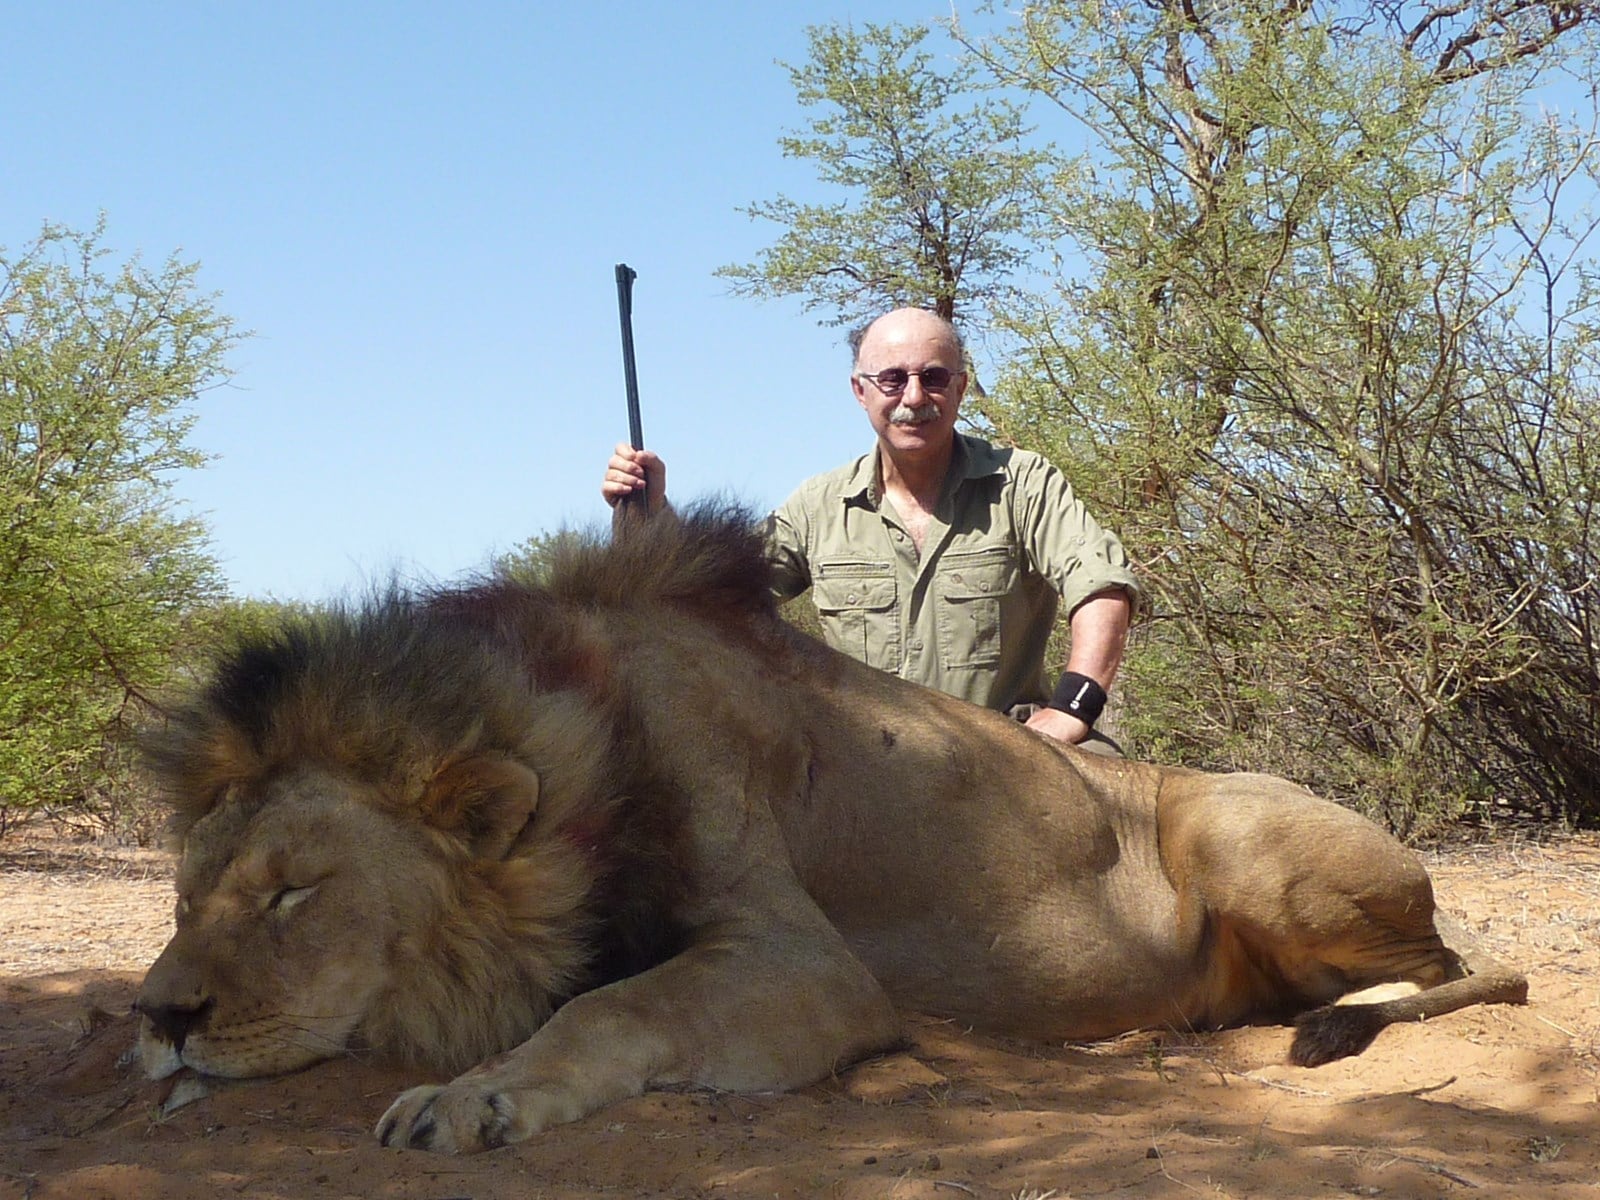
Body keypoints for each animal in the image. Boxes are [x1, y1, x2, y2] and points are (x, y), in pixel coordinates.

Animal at [134, 499, 1523, 1158]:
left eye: (294, 892)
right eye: (185, 896)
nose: (158, 1019)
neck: (586, 744)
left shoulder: (807, 964)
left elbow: (610, 1010)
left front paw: (468, 1100)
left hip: (1248, 838)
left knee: (1472, 969)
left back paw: (1334, 1022)